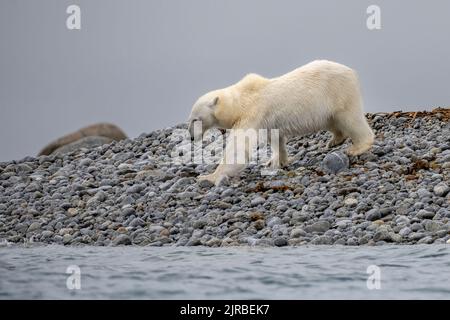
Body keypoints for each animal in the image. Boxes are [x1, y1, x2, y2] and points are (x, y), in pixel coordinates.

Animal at [188, 60, 374, 185]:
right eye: (189, 119)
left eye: (195, 119)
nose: (191, 136)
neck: (241, 100)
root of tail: (352, 71)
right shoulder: (267, 121)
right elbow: (276, 139)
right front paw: (276, 161)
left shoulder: (251, 114)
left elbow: (238, 148)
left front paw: (208, 177)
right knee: (332, 121)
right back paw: (334, 140)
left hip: (340, 92)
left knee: (350, 119)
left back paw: (357, 147)